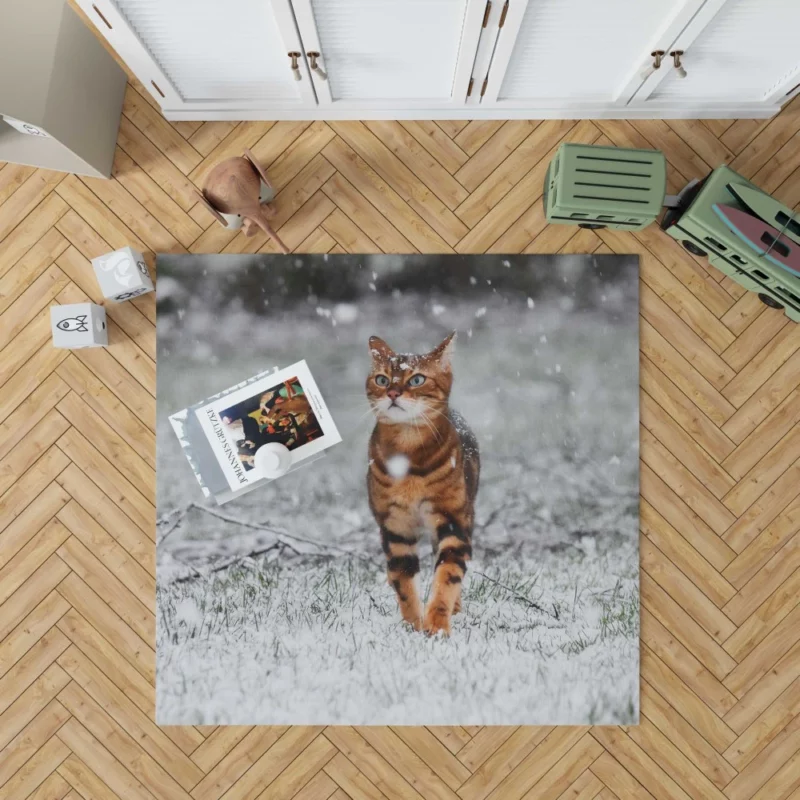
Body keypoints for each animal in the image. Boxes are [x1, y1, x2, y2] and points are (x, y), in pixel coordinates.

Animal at [366, 328, 478, 636]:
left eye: (416, 379)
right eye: (382, 379)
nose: (393, 392)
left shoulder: (453, 521)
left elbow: (447, 575)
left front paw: (437, 625)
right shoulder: (395, 527)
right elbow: (403, 581)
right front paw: (412, 626)